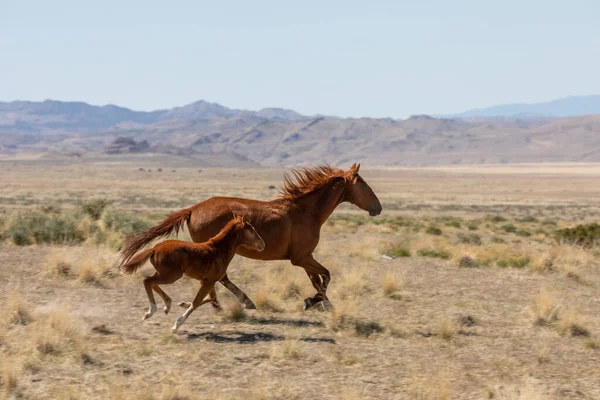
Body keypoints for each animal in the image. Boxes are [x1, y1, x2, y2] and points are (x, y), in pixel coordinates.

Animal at [120, 162, 384, 310]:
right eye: (363, 184)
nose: (378, 208)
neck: (306, 211)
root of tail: (194, 208)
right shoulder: (301, 258)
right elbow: (326, 276)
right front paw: (315, 302)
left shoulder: (305, 257)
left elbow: (317, 280)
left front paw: (320, 303)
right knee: (220, 277)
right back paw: (237, 302)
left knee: (217, 278)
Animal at [120, 214, 264, 332]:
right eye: (252, 229)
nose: (262, 245)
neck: (219, 250)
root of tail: (154, 248)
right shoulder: (209, 281)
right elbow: (197, 302)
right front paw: (176, 325)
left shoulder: (207, 281)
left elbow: (208, 298)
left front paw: (183, 304)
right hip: (172, 275)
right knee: (147, 281)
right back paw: (151, 311)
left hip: (164, 273)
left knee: (152, 282)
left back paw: (167, 305)